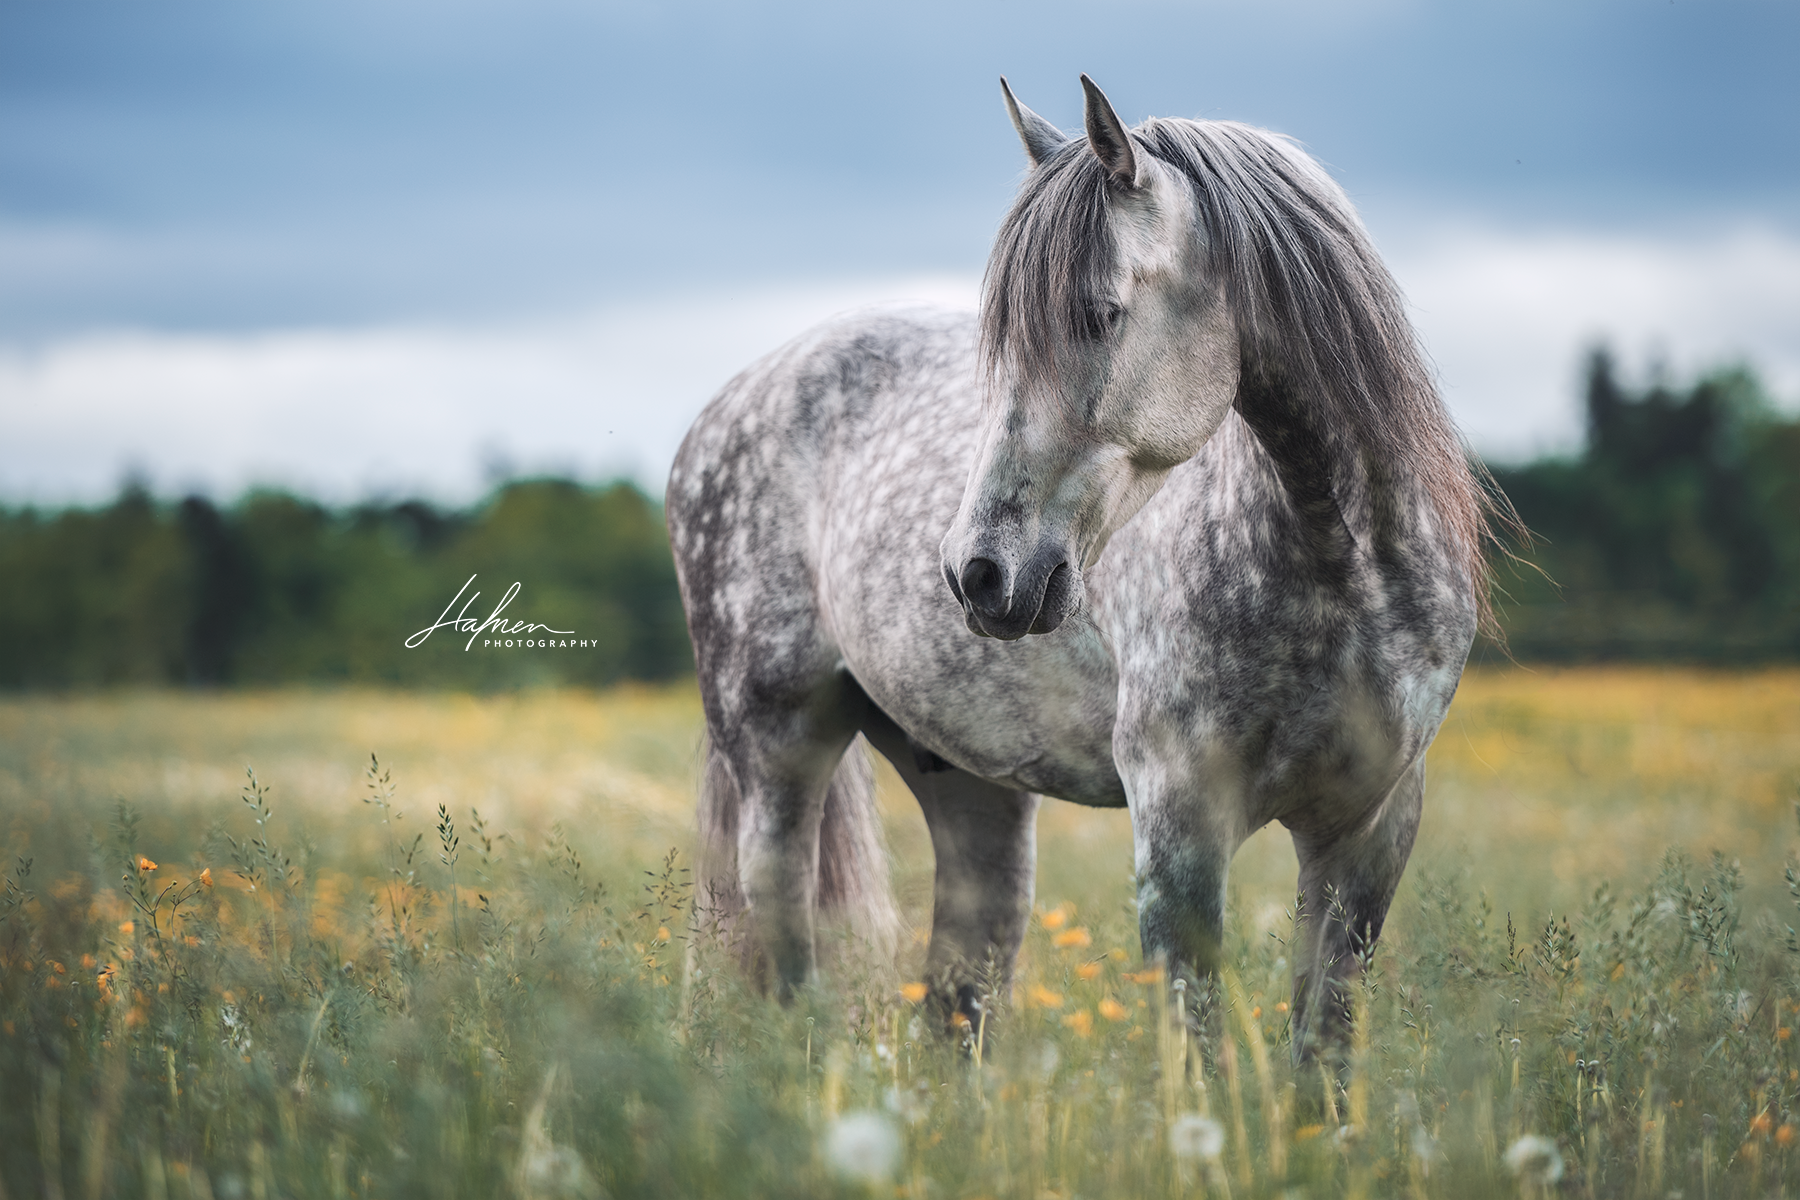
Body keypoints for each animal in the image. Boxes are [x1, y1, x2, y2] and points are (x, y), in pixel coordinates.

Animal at [669, 75, 1497, 1057]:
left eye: (1098, 315)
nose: (980, 575)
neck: (1342, 571)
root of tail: (729, 403)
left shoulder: (1370, 830)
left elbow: (1320, 1051)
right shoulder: (1180, 825)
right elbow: (1197, 1047)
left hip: (972, 794)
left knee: (957, 1003)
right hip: (776, 756)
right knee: (787, 956)